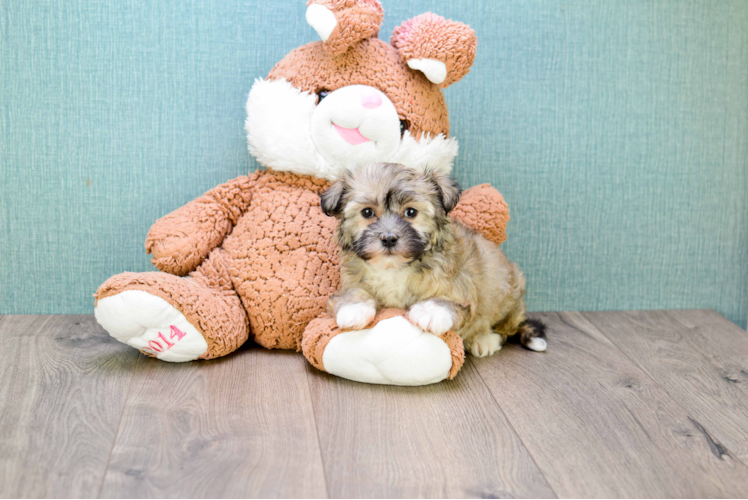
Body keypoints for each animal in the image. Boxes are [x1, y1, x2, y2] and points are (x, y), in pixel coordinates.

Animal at [318, 163, 548, 356]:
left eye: (411, 212)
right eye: (367, 212)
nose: (389, 238)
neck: (395, 267)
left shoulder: (461, 287)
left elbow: (449, 300)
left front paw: (431, 311)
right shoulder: (353, 278)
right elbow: (353, 292)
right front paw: (353, 308)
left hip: (508, 293)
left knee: (503, 326)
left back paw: (485, 339)